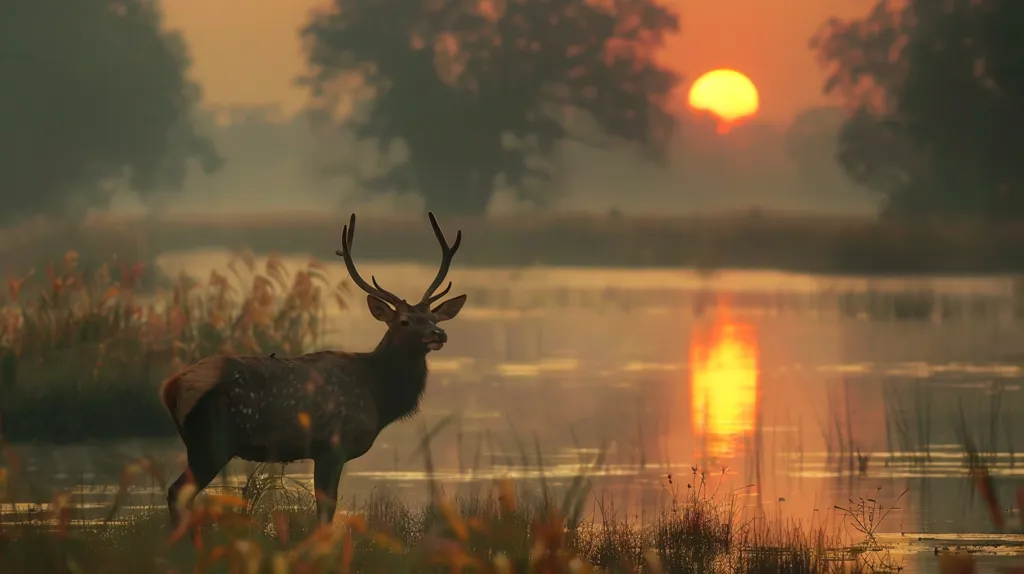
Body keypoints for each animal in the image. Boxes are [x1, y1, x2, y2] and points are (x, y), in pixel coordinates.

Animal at [159, 211, 466, 528]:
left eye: (433, 318)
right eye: (404, 321)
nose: (438, 334)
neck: (378, 395)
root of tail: (171, 387)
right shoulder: (333, 445)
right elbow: (325, 512)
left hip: (196, 442)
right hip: (215, 439)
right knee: (176, 492)